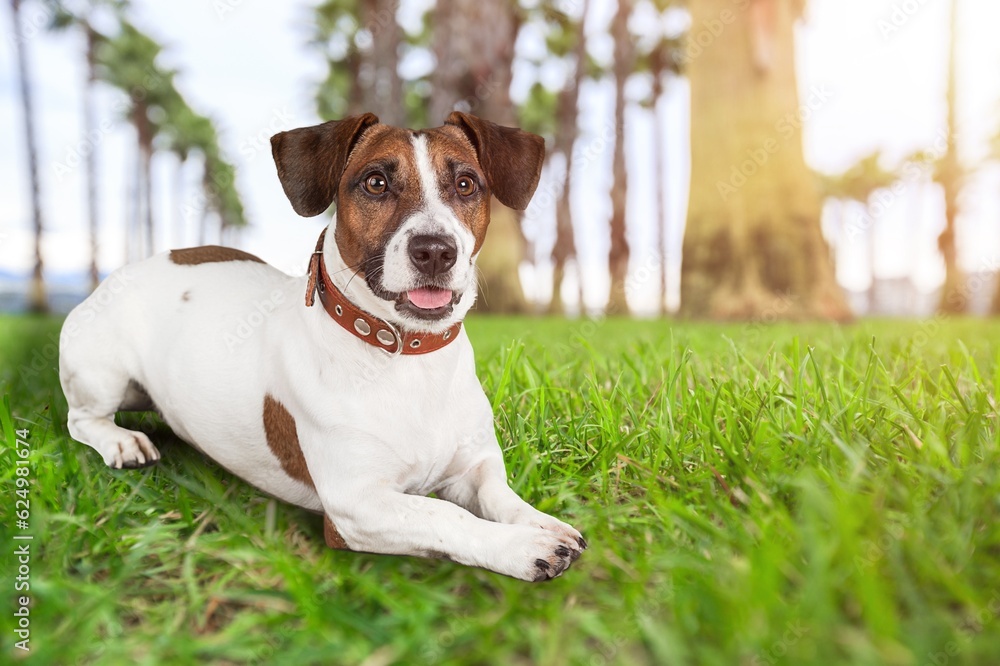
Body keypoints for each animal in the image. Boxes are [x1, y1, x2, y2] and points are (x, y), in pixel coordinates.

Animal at [58, 111, 584, 580]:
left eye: (467, 184)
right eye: (375, 182)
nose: (435, 250)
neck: (405, 354)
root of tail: (136, 264)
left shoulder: (472, 469)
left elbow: (500, 497)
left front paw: (540, 523)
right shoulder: (357, 507)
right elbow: (445, 515)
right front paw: (522, 548)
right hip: (102, 374)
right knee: (81, 420)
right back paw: (122, 441)